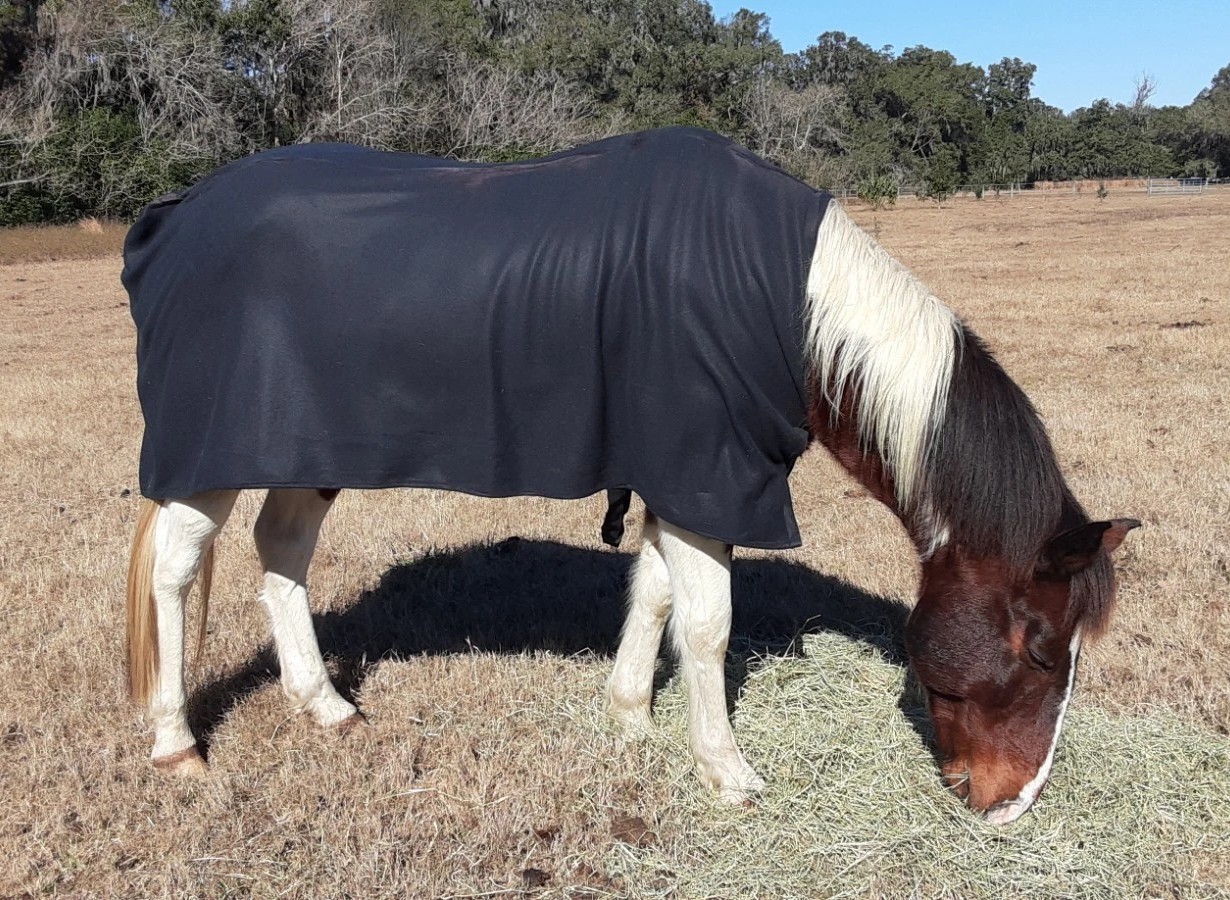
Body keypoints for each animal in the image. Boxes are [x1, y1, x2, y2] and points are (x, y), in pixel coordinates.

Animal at [121, 127, 1138, 825]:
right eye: (1041, 649)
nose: (1010, 803)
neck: (785, 304)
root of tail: (174, 219)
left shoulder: (683, 477)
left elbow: (653, 597)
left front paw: (630, 719)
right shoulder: (706, 474)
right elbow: (709, 625)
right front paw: (727, 772)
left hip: (305, 448)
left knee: (282, 551)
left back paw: (325, 705)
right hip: (212, 458)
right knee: (175, 569)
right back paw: (174, 743)